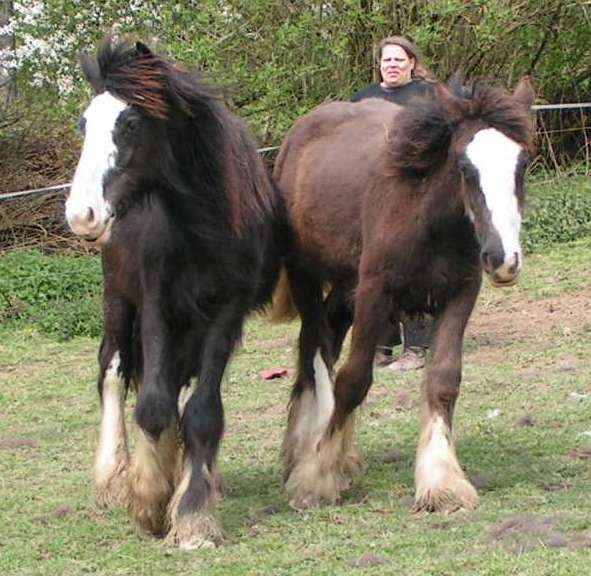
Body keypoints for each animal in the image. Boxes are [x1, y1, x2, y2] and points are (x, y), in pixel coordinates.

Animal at [65, 39, 286, 548]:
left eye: (129, 123)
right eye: (85, 124)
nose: (81, 214)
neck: (204, 224)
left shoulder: (227, 312)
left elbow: (202, 411)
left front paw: (193, 513)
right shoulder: (155, 303)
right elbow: (152, 405)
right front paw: (148, 499)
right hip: (118, 300)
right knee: (113, 371)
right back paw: (114, 478)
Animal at [272, 79, 536, 510]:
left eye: (522, 164)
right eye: (464, 167)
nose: (502, 260)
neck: (426, 216)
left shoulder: (460, 293)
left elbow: (444, 379)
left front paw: (442, 482)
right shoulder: (375, 292)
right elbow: (353, 380)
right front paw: (317, 478)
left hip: (346, 285)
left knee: (326, 337)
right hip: (306, 277)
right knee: (316, 350)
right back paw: (308, 450)